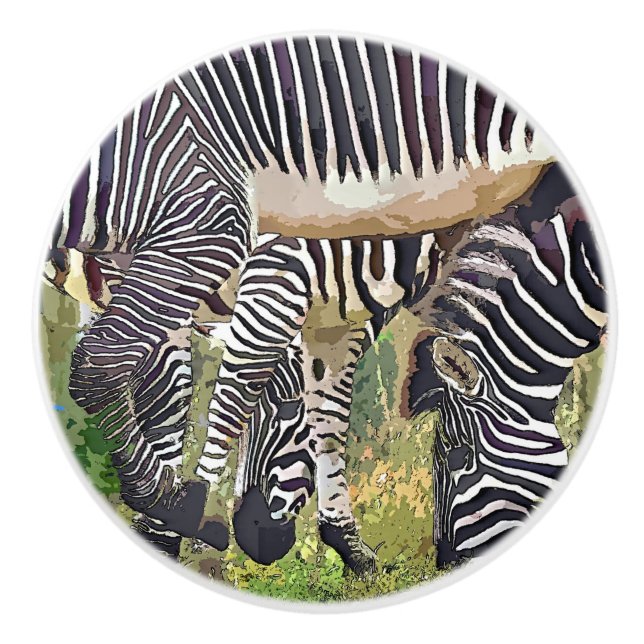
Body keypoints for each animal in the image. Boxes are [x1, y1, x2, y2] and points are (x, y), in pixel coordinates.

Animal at [45, 34, 546, 554]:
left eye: (455, 459)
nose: (257, 540)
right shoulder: (273, 272)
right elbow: (207, 396)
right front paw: (184, 522)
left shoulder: (337, 317)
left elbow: (330, 415)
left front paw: (346, 543)